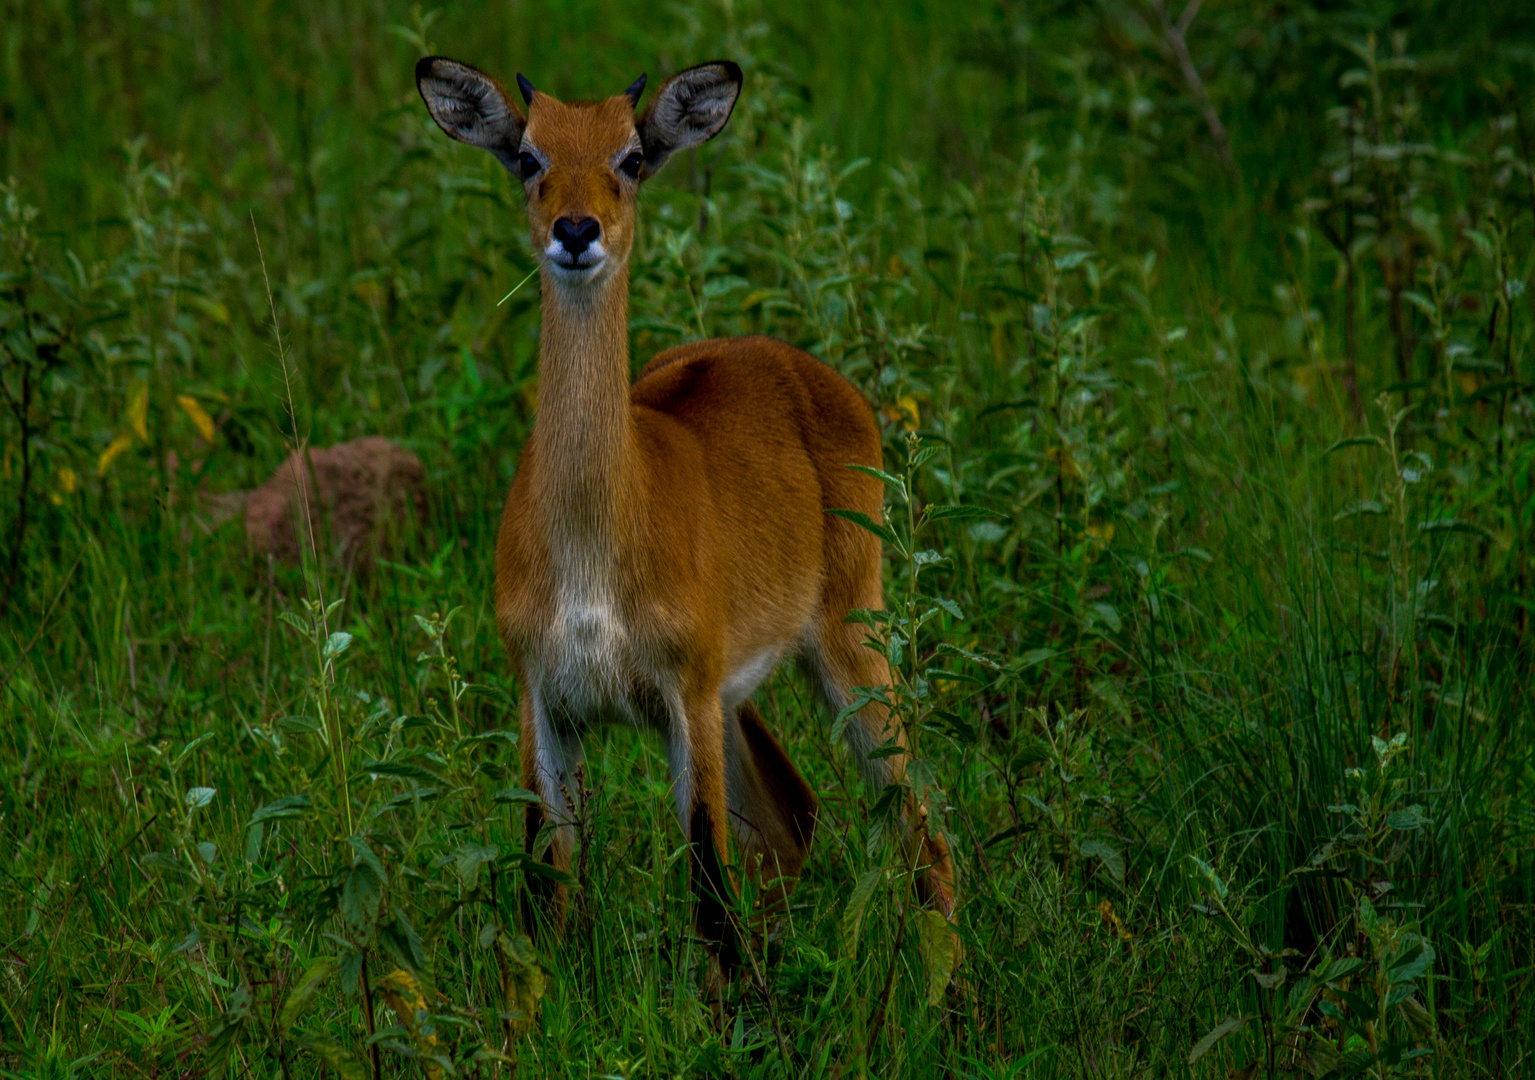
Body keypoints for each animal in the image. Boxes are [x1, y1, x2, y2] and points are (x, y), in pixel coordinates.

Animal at [414, 54, 951, 957]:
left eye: (632, 157)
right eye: (527, 155)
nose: (576, 230)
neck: (593, 548)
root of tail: (802, 368)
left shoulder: (683, 698)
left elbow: (708, 897)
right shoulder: (546, 702)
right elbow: (545, 893)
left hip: (845, 647)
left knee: (921, 831)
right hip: (740, 694)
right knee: (794, 814)